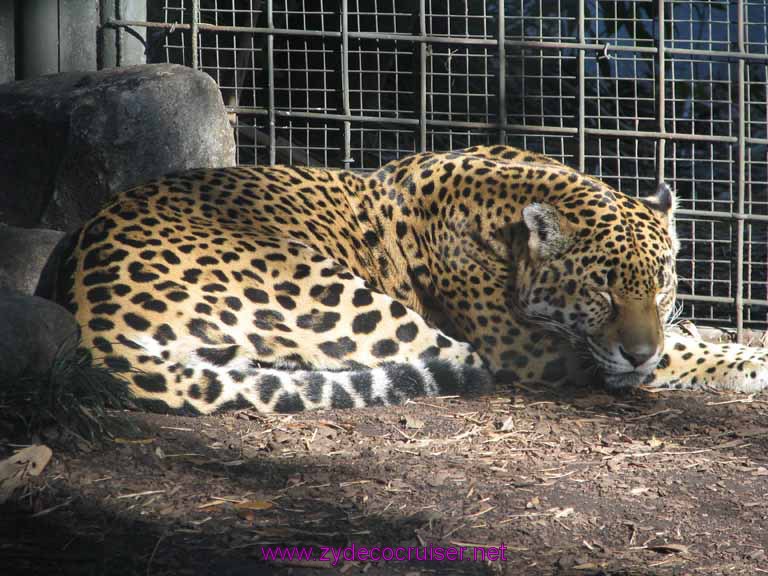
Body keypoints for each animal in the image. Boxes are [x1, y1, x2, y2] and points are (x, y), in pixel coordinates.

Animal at [39, 145, 768, 414]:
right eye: (601, 291)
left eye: (662, 285)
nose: (636, 350)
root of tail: (88, 312)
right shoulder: (532, 348)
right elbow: (676, 355)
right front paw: (746, 362)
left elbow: (685, 336)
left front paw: (717, 338)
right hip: (330, 286)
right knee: (448, 360)